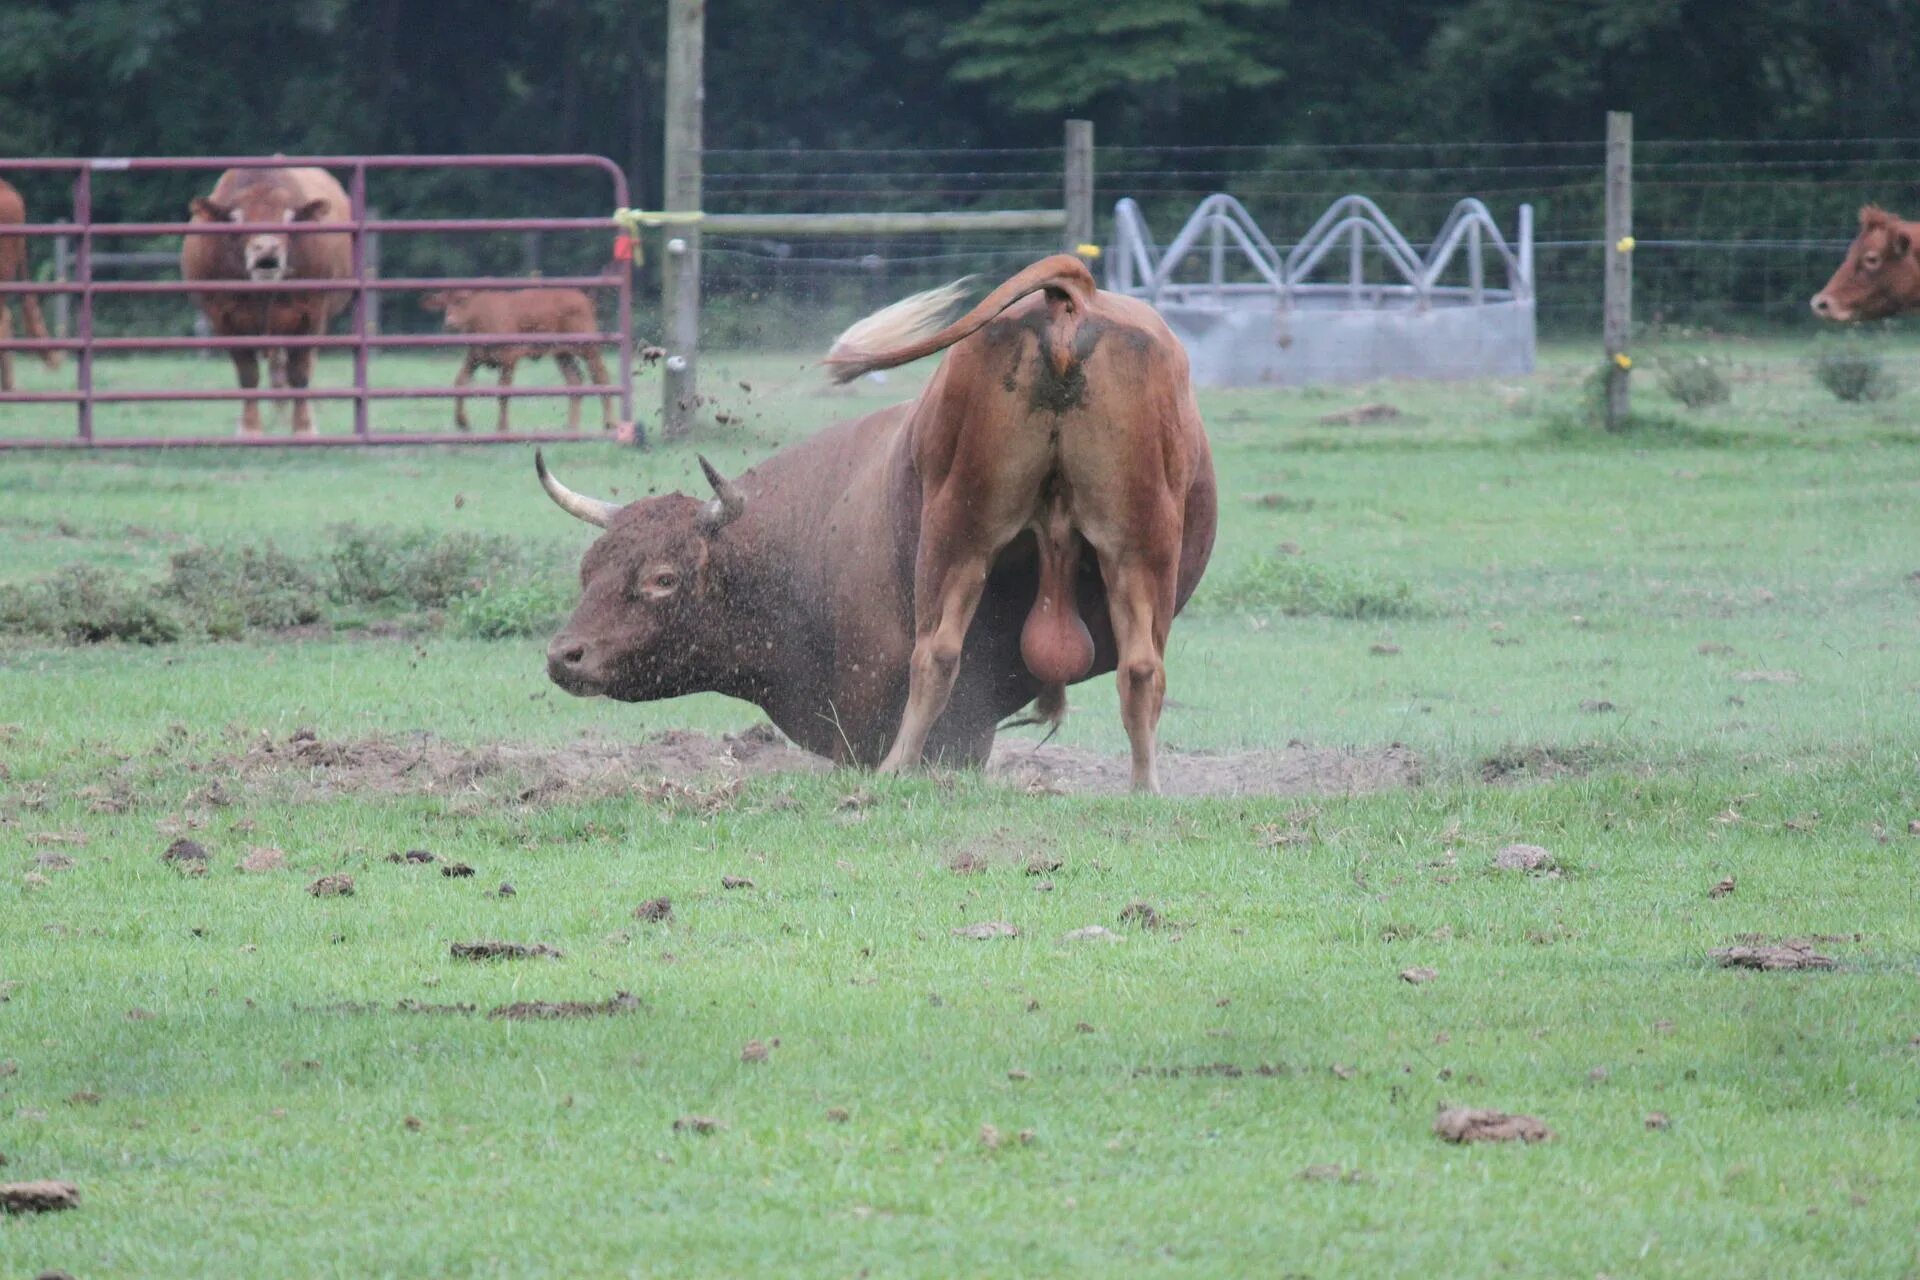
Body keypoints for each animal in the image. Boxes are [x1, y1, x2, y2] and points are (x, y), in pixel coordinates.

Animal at [180, 167, 353, 437]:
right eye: (236, 218)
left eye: (289, 217)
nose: (267, 246)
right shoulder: (224, 320)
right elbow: (248, 373)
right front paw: (249, 428)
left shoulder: (311, 315)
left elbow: (300, 372)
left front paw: (304, 428)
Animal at [420, 287, 614, 433]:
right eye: (443, 304)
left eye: (462, 301)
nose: (450, 322)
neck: (482, 317)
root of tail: (583, 298)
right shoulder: (474, 358)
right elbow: (460, 383)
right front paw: (462, 422)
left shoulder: (509, 359)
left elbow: (503, 392)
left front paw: (502, 427)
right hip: (562, 355)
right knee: (575, 380)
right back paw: (571, 427)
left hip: (588, 349)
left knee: (601, 376)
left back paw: (608, 423)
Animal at [533, 253, 1213, 790]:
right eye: (588, 571)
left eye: (663, 578)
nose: (565, 655)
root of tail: (1070, 303)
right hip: (1117, 546)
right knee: (1132, 666)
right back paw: (1142, 786)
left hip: (973, 540)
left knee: (944, 655)